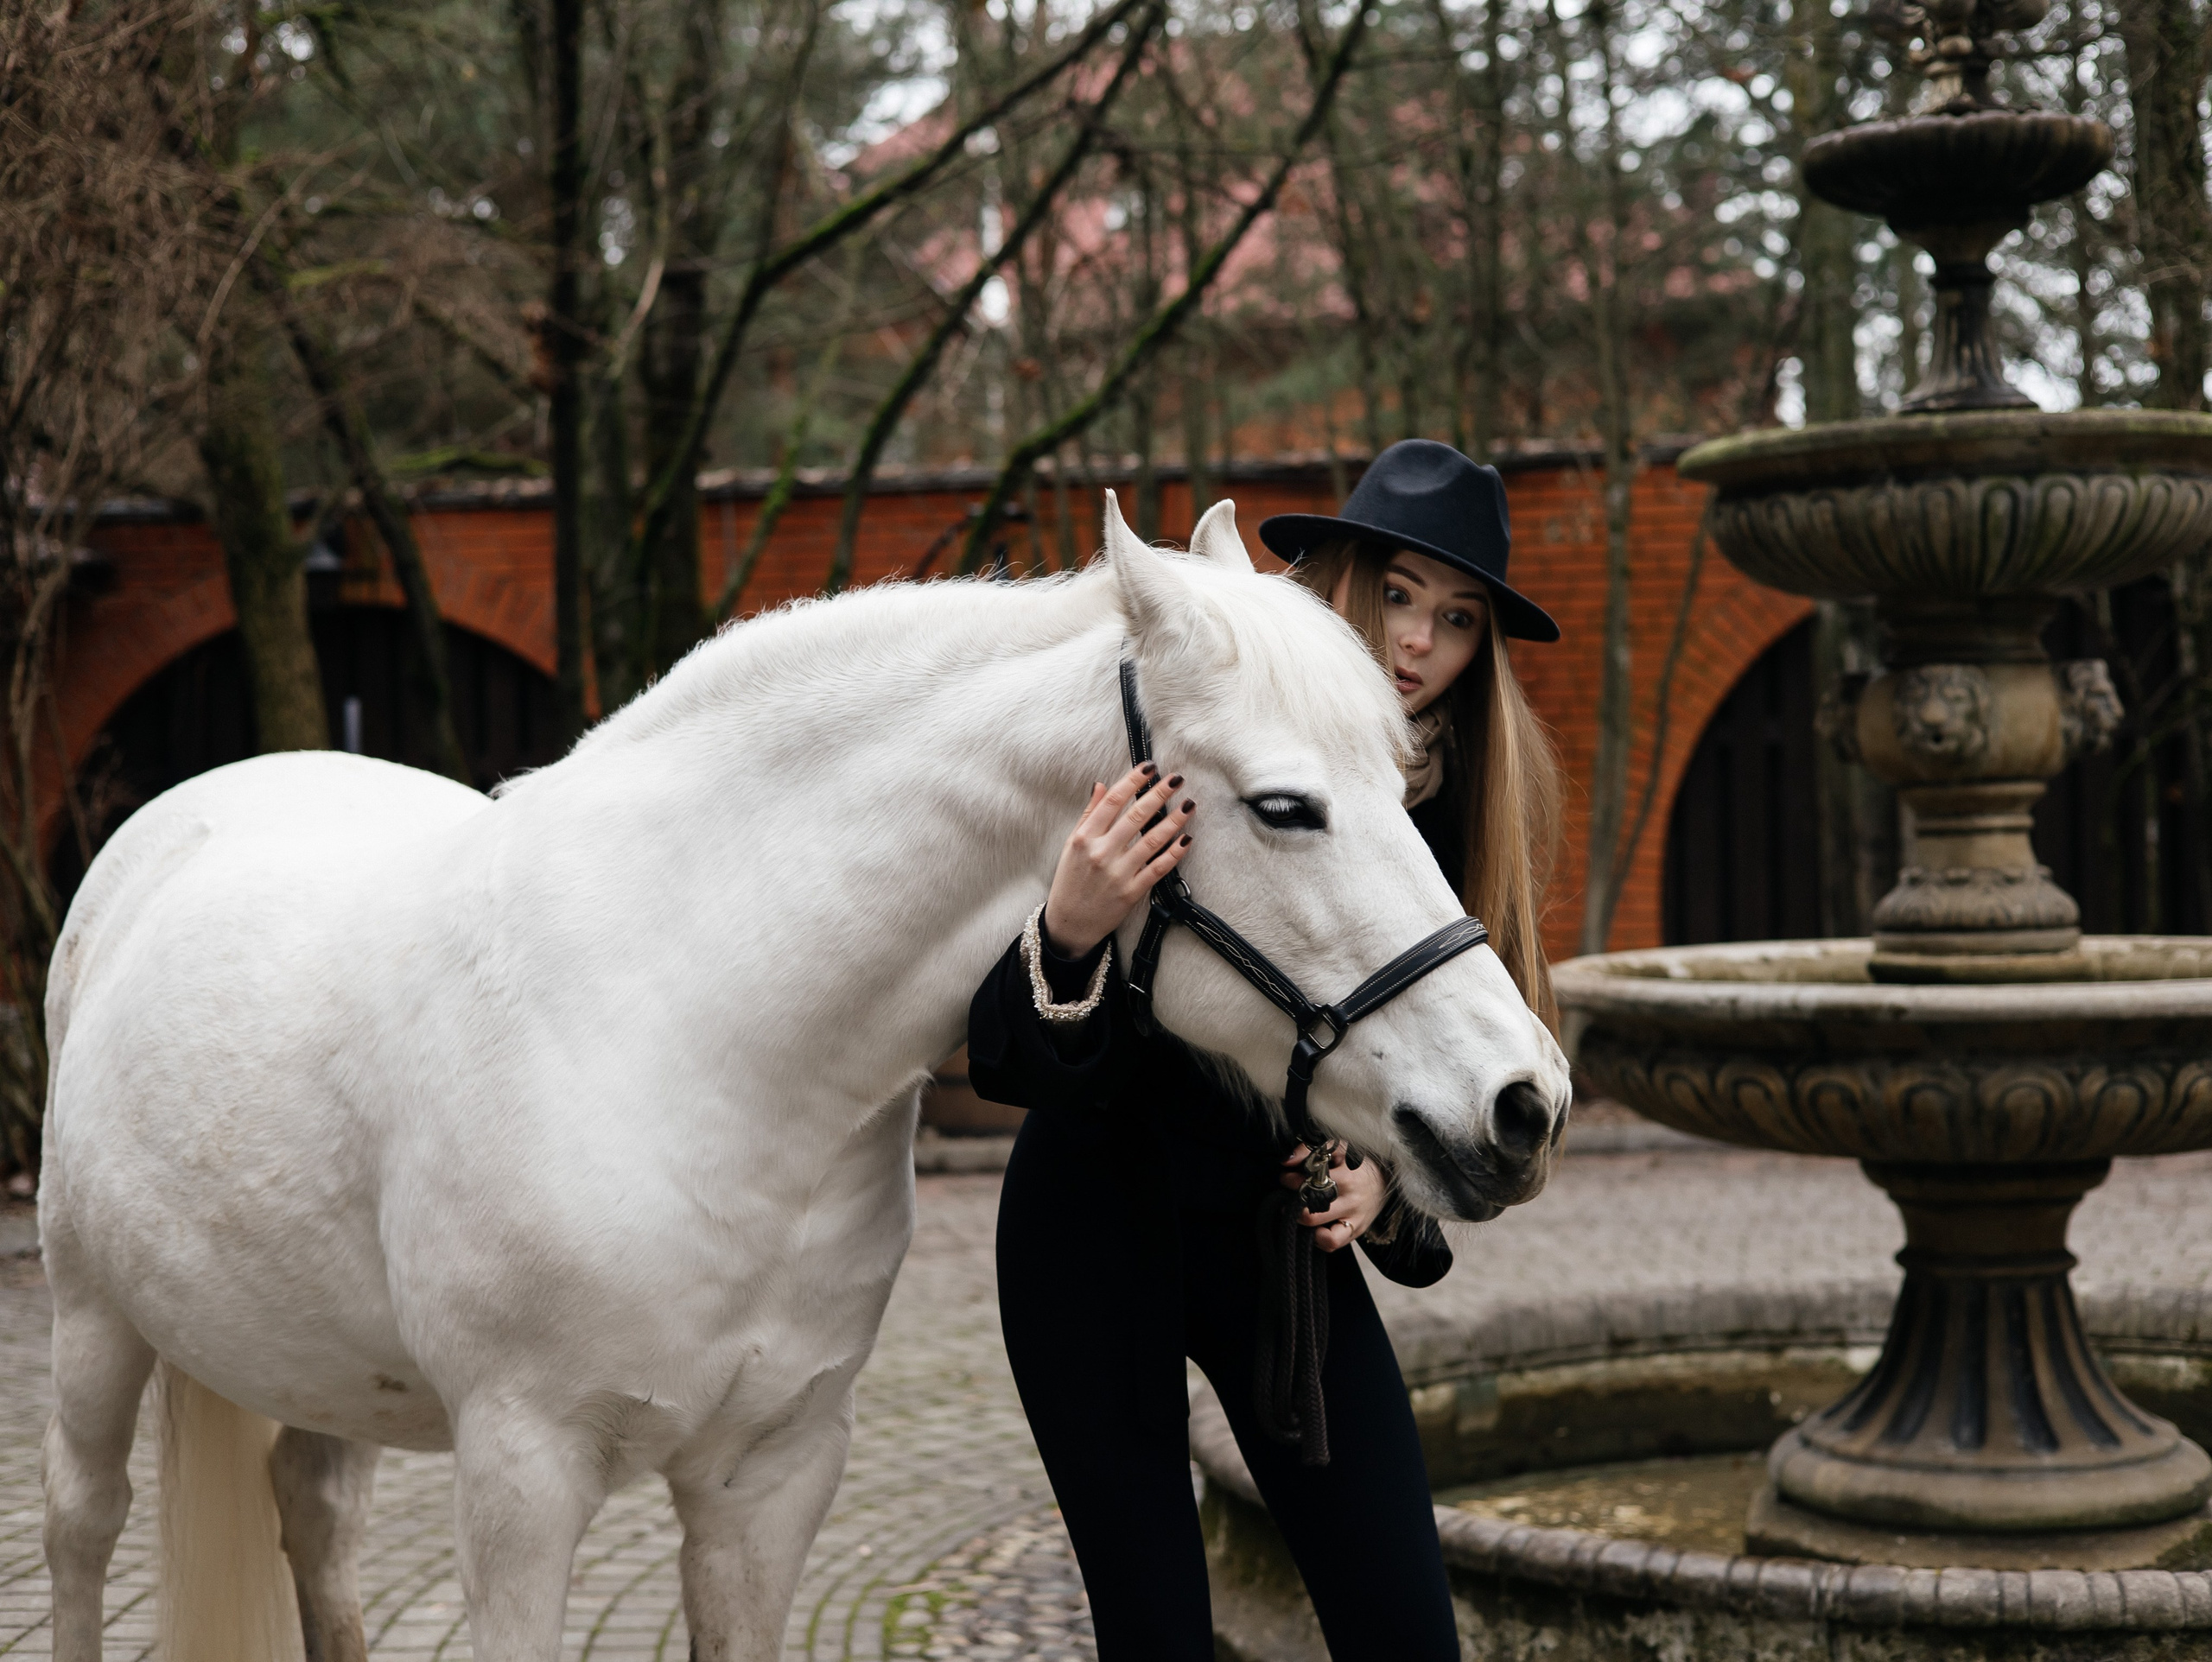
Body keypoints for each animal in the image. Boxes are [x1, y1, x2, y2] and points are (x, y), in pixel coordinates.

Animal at [39, 495, 1570, 1662]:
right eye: (1285, 808)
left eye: (1407, 777)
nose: (1525, 1102)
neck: (693, 1037)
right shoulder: (520, 1477)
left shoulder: (770, 1477)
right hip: (93, 1327)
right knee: (79, 1535)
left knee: (316, 1526)